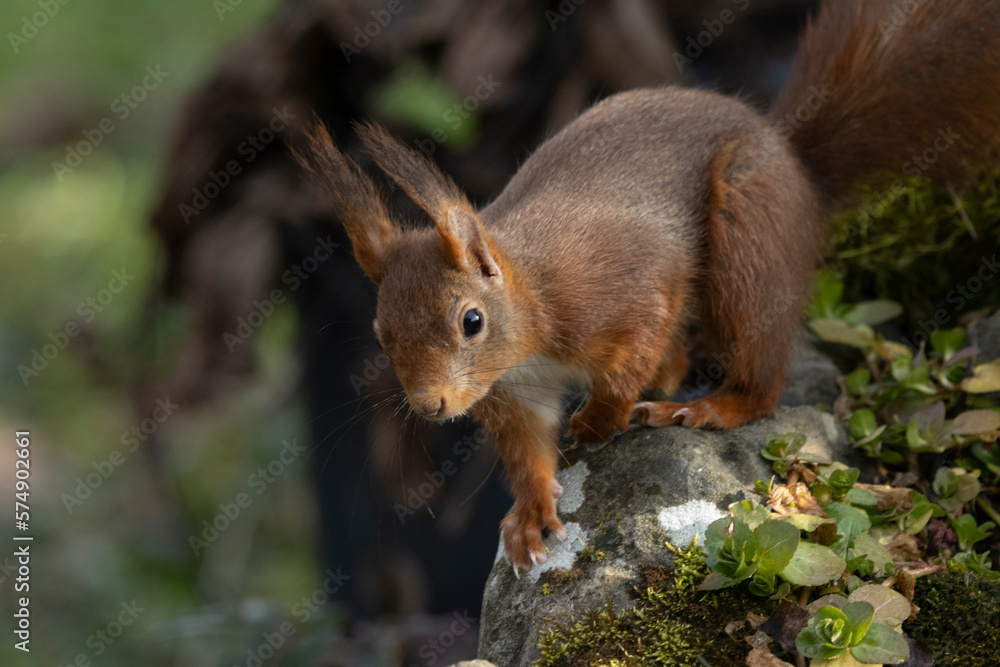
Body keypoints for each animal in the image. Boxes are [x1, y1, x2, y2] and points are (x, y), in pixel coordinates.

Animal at [295, 0, 1000, 572]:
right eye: (381, 336)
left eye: (471, 321)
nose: (430, 406)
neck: (531, 317)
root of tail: (798, 168)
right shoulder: (513, 394)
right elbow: (527, 452)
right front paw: (530, 514)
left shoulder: (624, 288)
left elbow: (632, 347)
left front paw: (600, 417)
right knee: (686, 357)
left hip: (747, 234)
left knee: (762, 371)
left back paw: (707, 406)